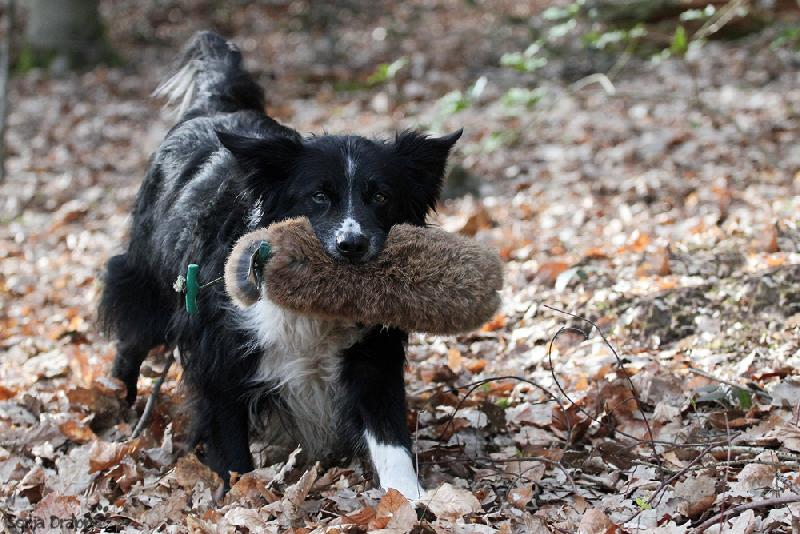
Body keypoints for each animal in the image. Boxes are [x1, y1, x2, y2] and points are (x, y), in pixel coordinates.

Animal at [99, 31, 461, 499]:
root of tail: (215, 107)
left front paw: (412, 499)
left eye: (381, 196)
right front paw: (237, 494)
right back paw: (121, 406)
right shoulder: (219, 348)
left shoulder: (371, 349)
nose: (352, 245)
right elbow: (228, 432)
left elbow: (388, 432)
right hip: (152, 280)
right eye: (318, 196)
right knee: (131, 335)